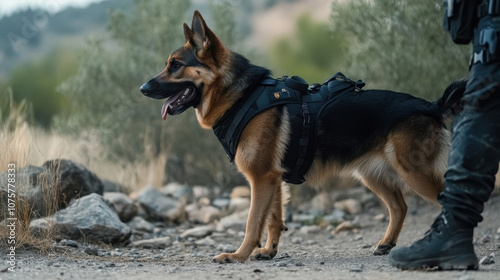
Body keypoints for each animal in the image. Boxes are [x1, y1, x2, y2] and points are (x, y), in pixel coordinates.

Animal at [140, 10, 464, 264]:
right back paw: (386, 243)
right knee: (400, 206)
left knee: (441, 201)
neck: (241, 97)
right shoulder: (272, 179)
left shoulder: (262, 178)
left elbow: (253, 221)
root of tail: (431, 105)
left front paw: (239, 255)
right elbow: (273, 219)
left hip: (414, 173)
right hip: (372, 175)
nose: (142, 88)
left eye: (175, 65)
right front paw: (267, 251)